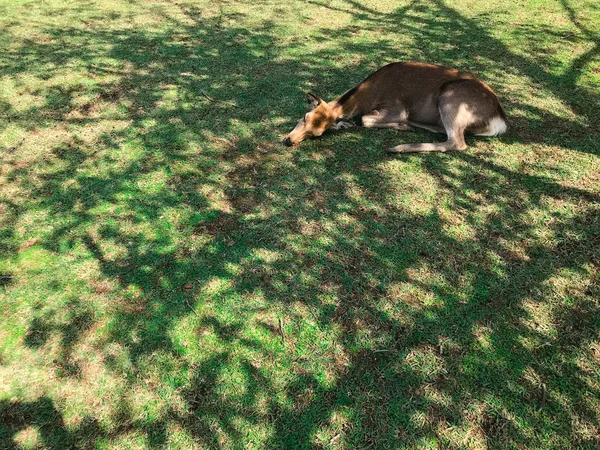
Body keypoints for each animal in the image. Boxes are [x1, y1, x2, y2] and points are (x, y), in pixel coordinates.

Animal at [282, 61, 506, 154]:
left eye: (317, 134)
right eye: (304, 117)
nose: (288, 141)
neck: (371, 93)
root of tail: (499, 119)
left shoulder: (396, 108)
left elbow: (364, 119)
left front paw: (402, 125)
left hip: (451, 98)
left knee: (457, 141)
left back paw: (398, 146)